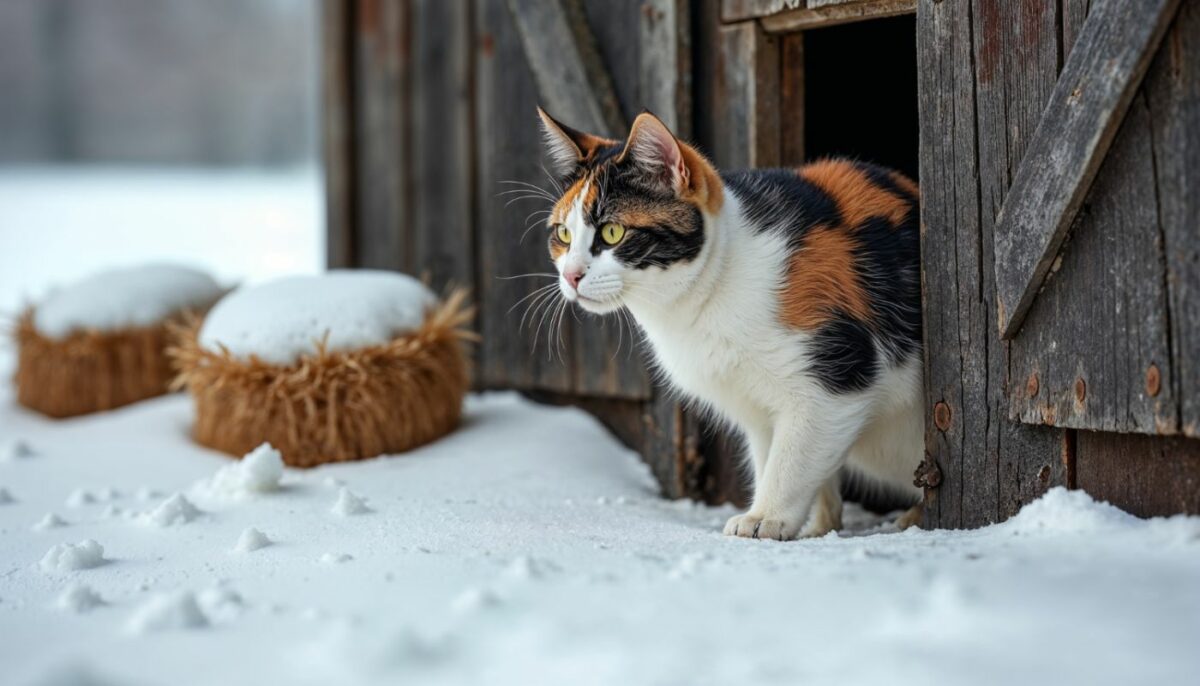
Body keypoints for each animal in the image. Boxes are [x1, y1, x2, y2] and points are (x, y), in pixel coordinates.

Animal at [540, 107, 921, 539]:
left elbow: (792, 459)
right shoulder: (758, 408)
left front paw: (766, 518)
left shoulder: (835, 377)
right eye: (563, 233)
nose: (570, 275)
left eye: (612, 231)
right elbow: (776, 457)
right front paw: (817, 527)